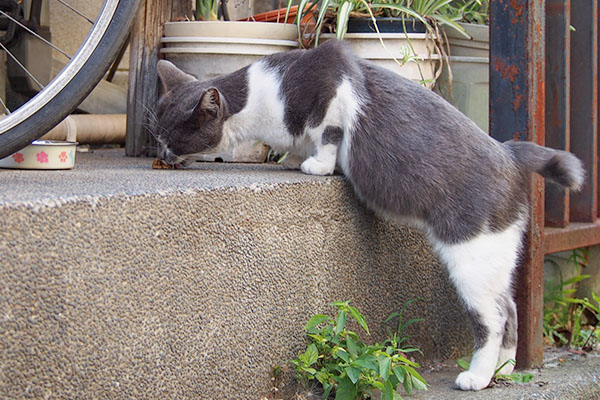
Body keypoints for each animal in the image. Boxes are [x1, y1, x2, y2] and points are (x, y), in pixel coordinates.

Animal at [151, 39, 584, 390]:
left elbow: (327, 132)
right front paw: (292, 158)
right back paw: (505, 370)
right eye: (157, 136)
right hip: (497, 256)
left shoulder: (331, 86)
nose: (160, 155)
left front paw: (316, 165)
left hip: (471, 258)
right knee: (510, 309)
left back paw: (477, 377)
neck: (261, 99)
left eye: (171, 138)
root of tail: (510, 153)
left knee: (491, 319)